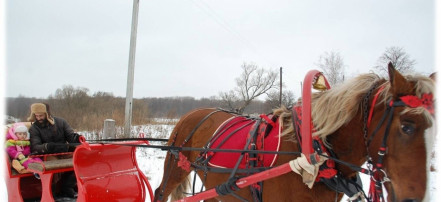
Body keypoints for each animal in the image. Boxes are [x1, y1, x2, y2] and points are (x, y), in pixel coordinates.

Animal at [154, 63, 434, 202]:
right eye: (407, 126)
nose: (414, 199)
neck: (313, 151)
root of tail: (192, 113)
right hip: (175, 166)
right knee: (160, 192)